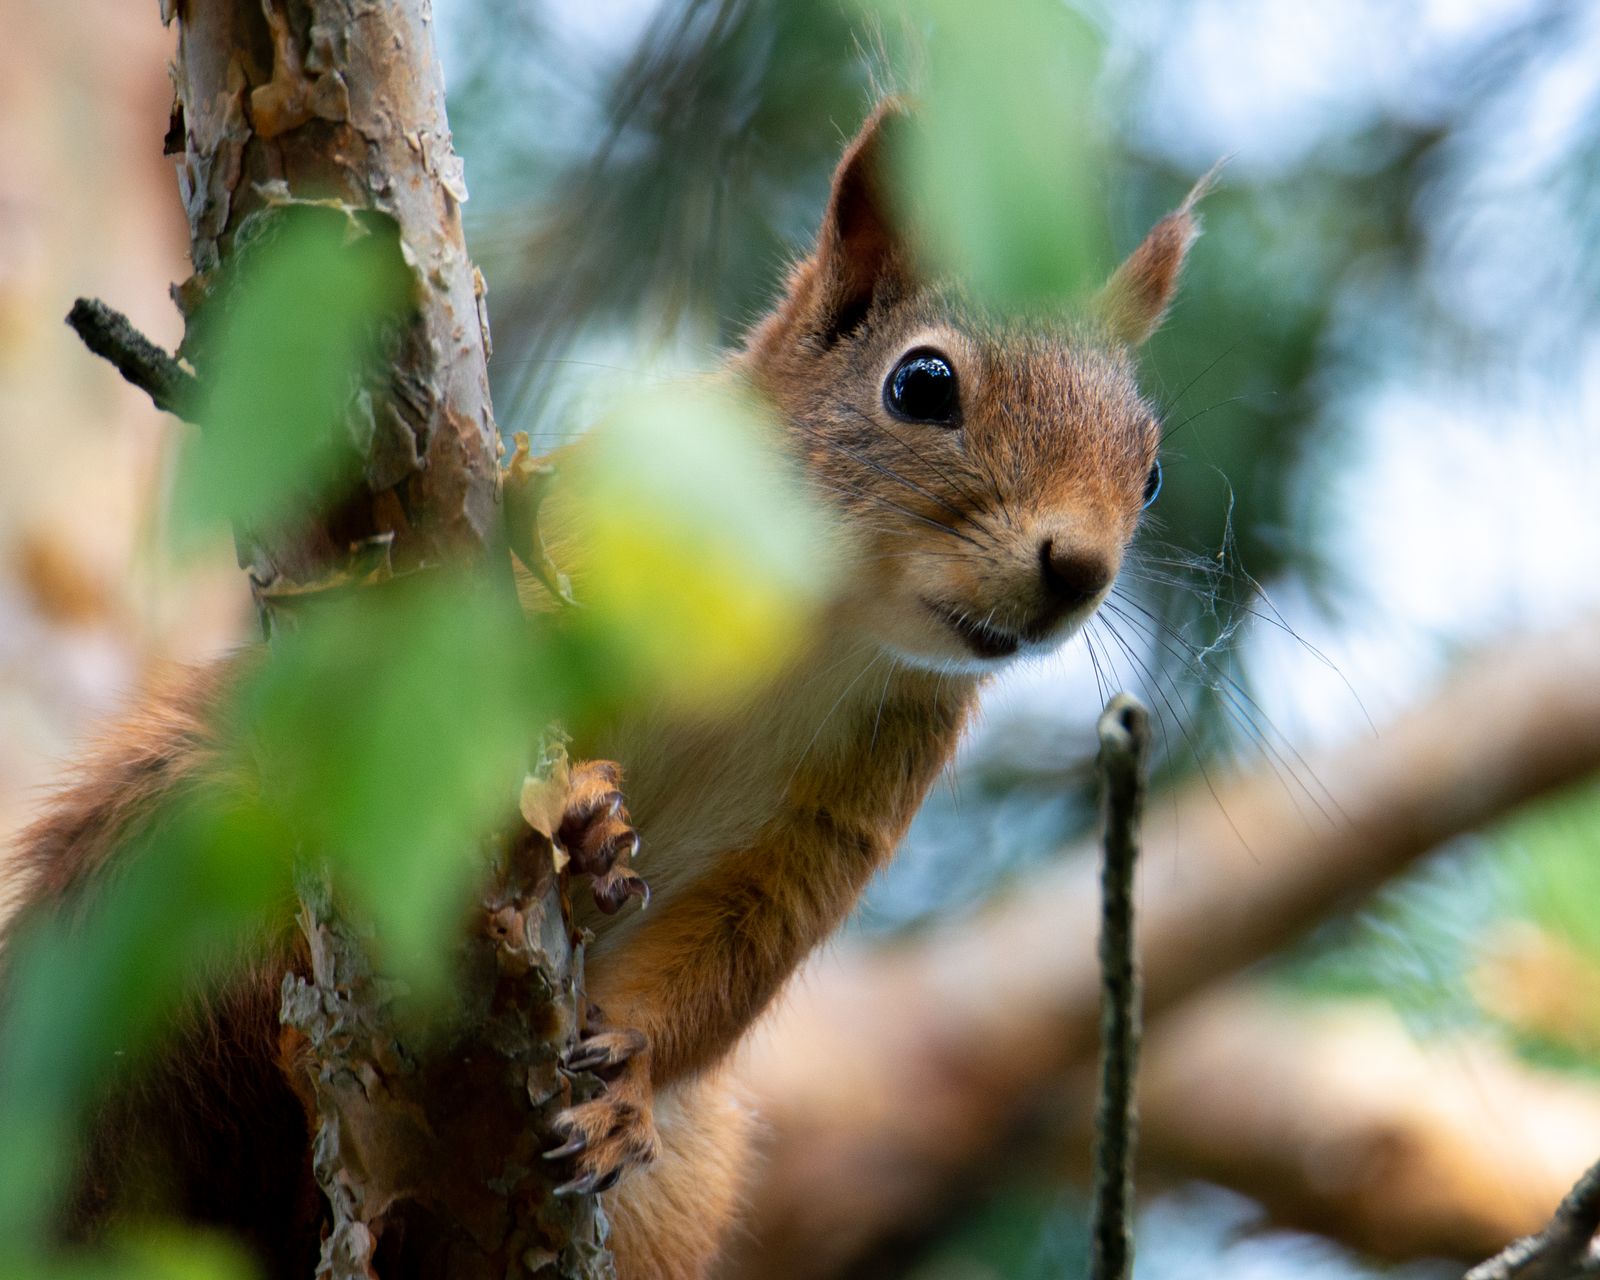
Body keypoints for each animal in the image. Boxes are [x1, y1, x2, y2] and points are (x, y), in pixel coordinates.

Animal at [4, 101, 1204, 1279]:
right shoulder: (580, 546)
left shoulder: (856, 792)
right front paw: (579, 817)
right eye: (922, 383)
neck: (809, 623)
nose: (1080, 568)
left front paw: (627, 1084)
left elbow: (751, 942)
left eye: (1149, 470)